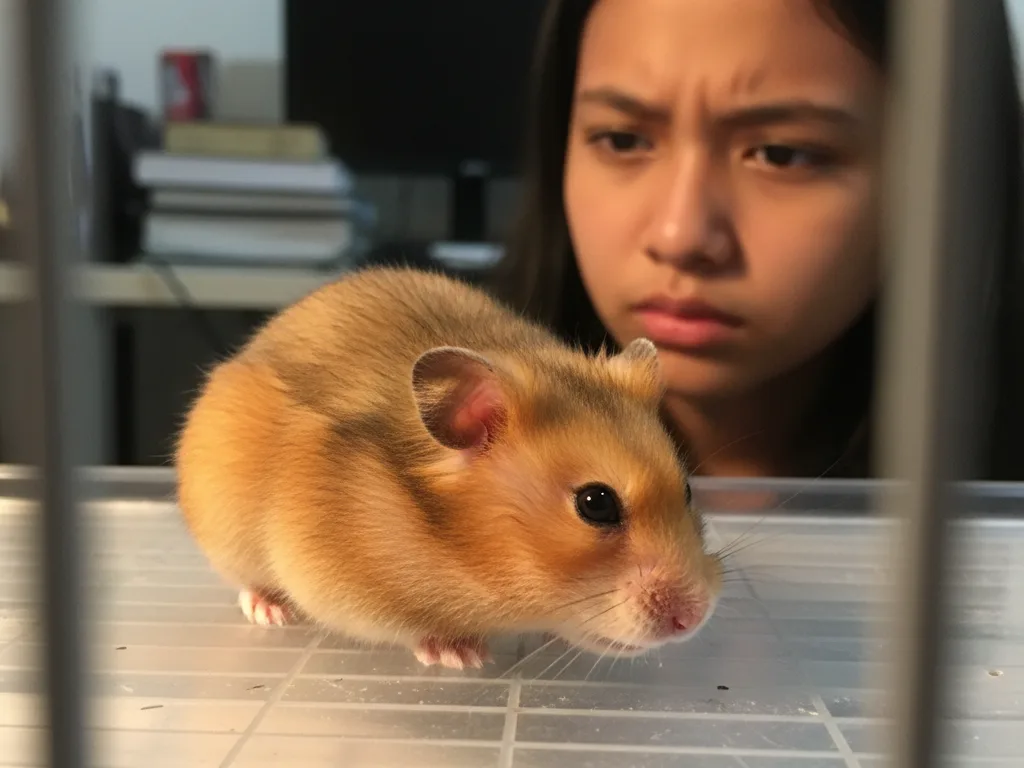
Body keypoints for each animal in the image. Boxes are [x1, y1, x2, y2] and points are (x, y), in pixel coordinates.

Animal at [175, 266, 722, 669]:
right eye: (596, 503)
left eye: (688, 490)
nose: (694, 620)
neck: (463, 557)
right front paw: (462, 656)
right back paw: (271, 611)